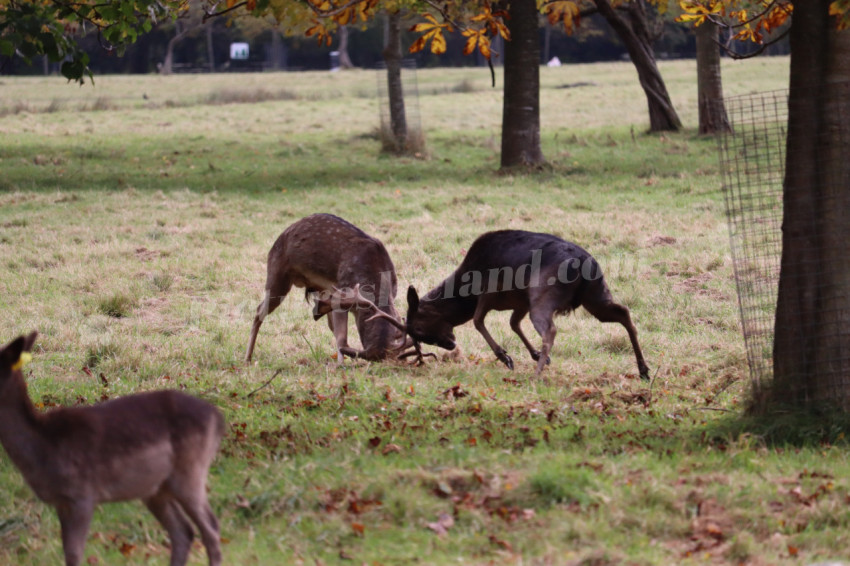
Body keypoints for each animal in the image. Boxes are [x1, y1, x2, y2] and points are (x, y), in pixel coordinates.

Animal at [0, 332, 225, 566]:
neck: (43, 447)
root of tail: (219, 419)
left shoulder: (82, 494)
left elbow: (74, 553)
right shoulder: (62, 502)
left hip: (190, 471)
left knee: (210, 526)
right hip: (156, 489)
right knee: (183, 531)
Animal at [243, 213, 410, 364]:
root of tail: (282, 235)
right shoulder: (341, 295)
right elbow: (342, 338)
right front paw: (341, 366)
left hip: (321, 289)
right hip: (276, 274)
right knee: (259, 310)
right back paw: (247, 358)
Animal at [364, 229, 648, 380]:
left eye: (420, 329)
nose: (451, 344)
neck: (464, 289)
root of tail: (583, 263)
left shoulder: (489, 291)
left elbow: (478, 321)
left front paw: (506, 357)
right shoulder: (520, 301)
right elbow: (513, 324)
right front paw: (536, 356)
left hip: (544, 294)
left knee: (550, 329)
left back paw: (536, 375)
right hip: (595, 294)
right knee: (623, 312)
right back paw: (643, 369)